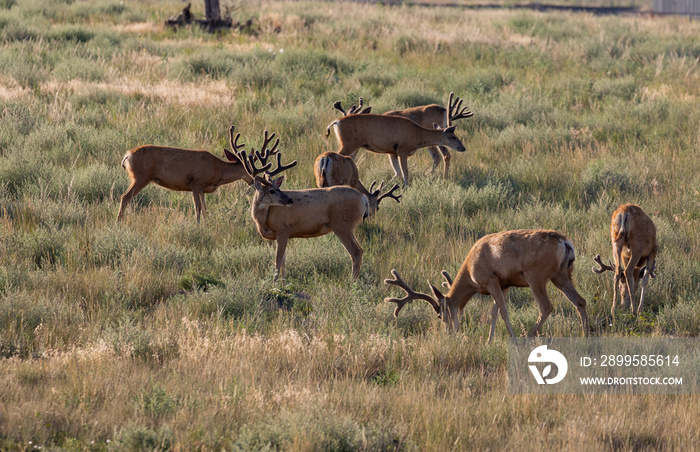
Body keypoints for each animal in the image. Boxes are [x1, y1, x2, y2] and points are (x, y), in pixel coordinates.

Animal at [117, 132, 252, 222]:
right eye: (249, 167)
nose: (253, 181)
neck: (217, 169)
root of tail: (127, 156)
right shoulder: (196, 184)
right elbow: (197, 208)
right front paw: (198, 225)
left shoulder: (202, 190)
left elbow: (205, 209)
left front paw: (207, 224)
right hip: (140, 177)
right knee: (125, 197)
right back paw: (119, 222)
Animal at [231, 124, 372, 278]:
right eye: (272, 190)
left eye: (277, 188)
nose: (290, 199)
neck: (263, 219)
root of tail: (363, 198)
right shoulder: (283, 235)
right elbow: (283, 263)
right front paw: (283, 280)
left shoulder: (283, 230)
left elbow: (277, 261)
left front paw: (275, 281)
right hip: (346, 226)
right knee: (359, 251)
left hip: (342, 224)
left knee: (356, 252)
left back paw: (353, 280)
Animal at [386, 230, 588, 342]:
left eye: (439, 314)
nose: (449, 332)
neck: (470, 271)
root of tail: (565, 242)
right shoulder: (504, 283)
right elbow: (494, 312)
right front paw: (489, 341)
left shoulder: (490, 279)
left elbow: (503, 311)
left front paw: (512, 339)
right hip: (561, 274)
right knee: (580, 301)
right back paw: (586, 336)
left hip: (536, 275)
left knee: (546, 306)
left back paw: (529, 336)